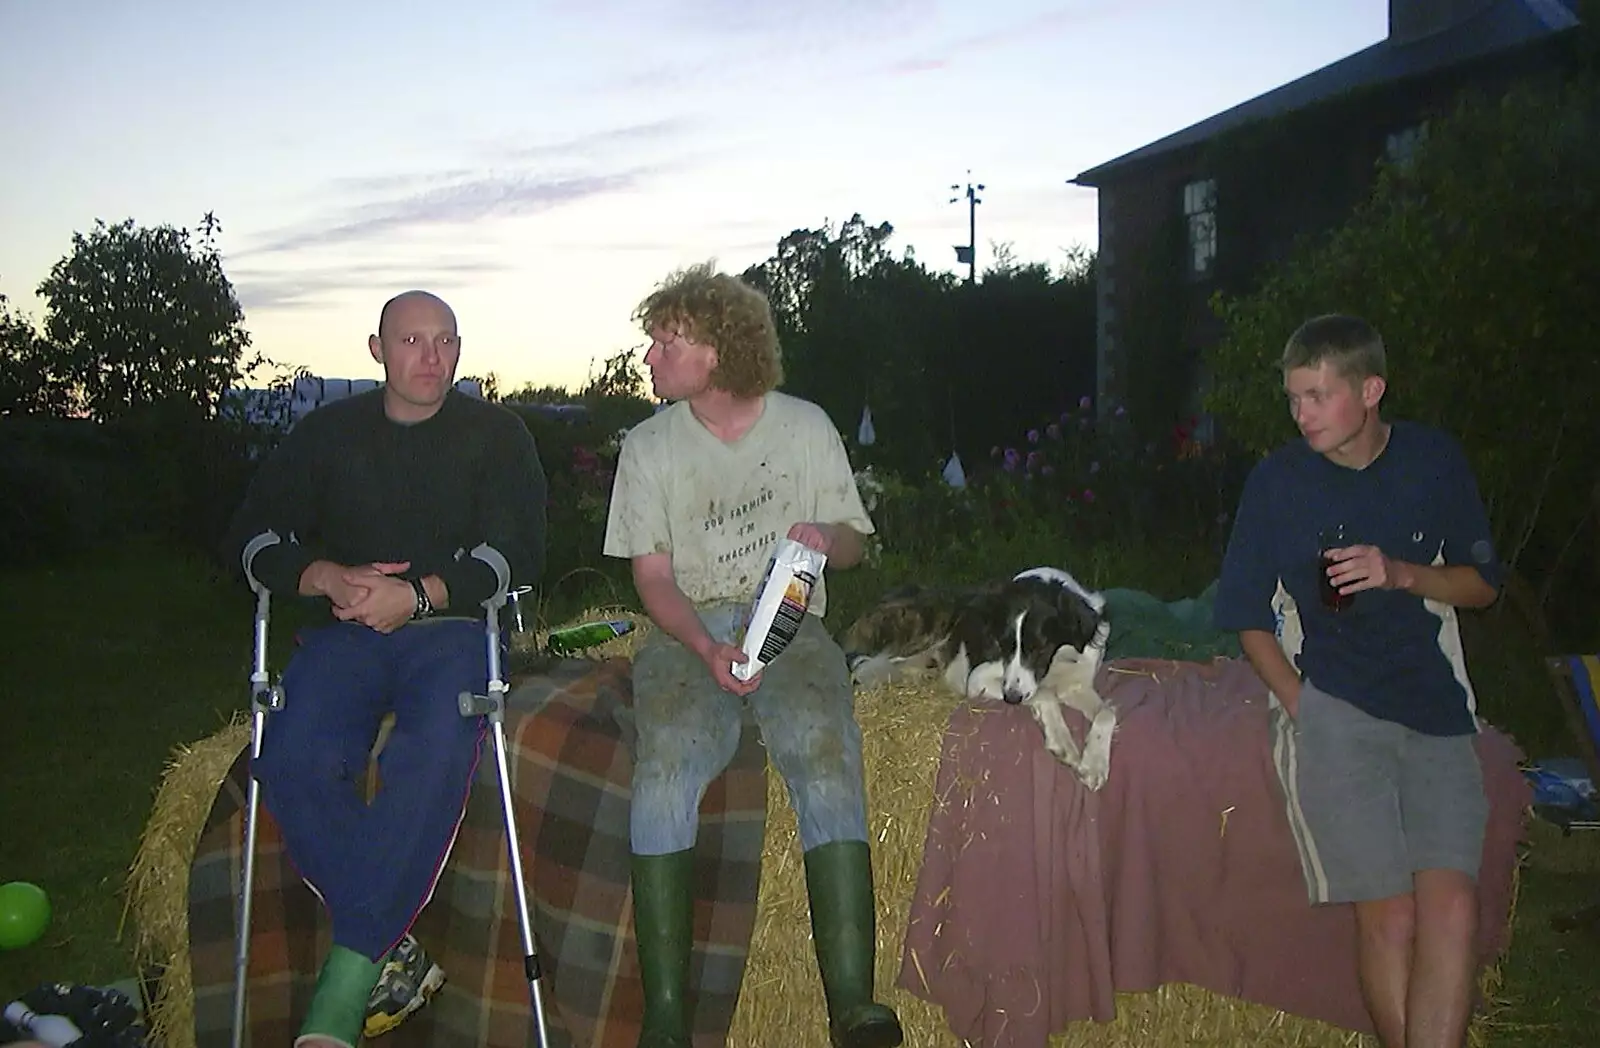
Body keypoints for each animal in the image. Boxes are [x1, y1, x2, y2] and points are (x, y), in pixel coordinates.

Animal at [838, 569, 1113, 790]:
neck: (1057, 661)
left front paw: (1094, 765)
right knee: (863, 667)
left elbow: (1107, 712)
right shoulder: (980, 679)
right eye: (1005, 645)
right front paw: (1063, 742)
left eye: (1039, 648)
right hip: (926, 625)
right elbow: (1044, 694)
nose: (1011, 699)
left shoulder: (1075, 685)